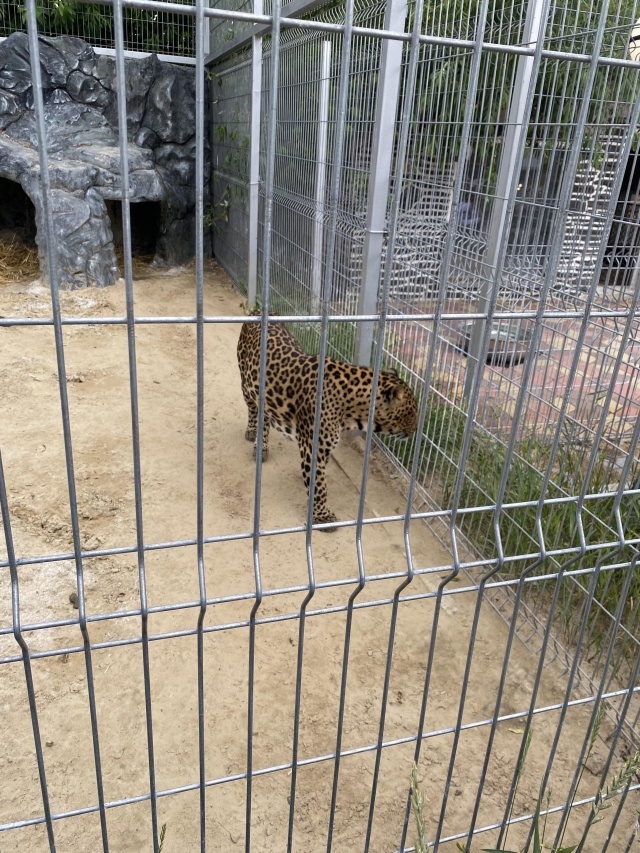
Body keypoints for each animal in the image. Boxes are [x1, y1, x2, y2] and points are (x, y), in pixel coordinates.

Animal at [235, 322, 420, 524]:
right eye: (412, 413)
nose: (417, 429)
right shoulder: (312, 447)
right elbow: (319, 485)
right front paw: (322, 516)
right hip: (247, 385)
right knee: (254, 411)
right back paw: (254, 435)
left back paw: (262, 447)